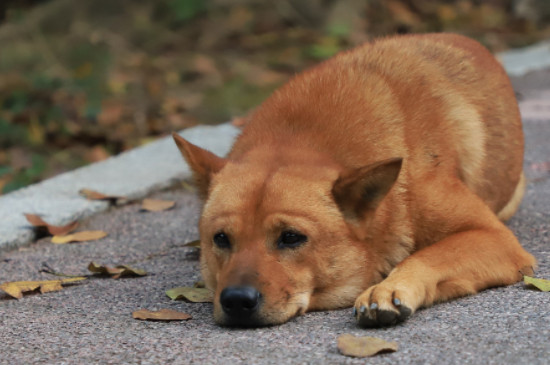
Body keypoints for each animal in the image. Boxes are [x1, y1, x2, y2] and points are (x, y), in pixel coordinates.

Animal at [174, 32, 540, 326]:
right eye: (221, 239)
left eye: (291, 238)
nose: (236, 300)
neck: (300, 137)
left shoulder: (494, 237)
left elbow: (430, 255)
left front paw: (390, 287)